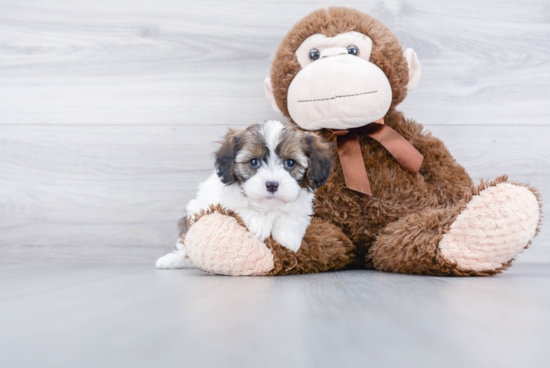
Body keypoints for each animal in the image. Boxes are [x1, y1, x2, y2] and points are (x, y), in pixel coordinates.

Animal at [157, 119, 334, 268]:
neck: (268, 206)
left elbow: (292, 215)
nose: (272, 185)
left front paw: (288, 237)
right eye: (254, 162)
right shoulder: (221, 200)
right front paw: (259, 223)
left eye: (290, 163)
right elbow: (240, 207)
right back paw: (171, 260)